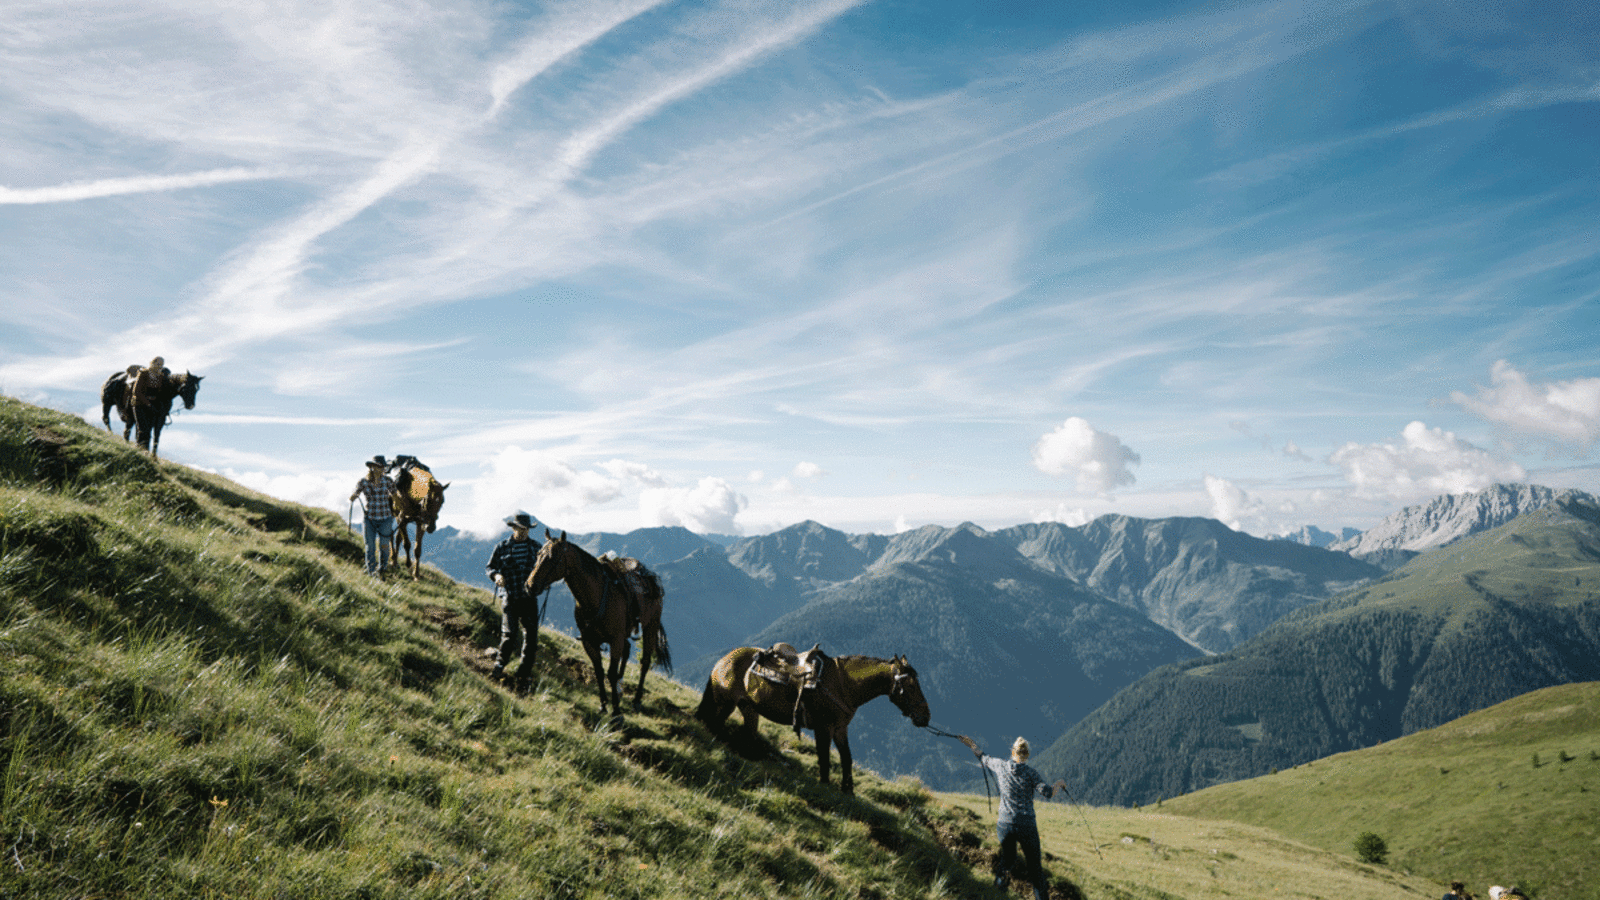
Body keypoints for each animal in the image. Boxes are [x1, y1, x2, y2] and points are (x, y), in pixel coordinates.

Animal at [528, 528, 672, 711]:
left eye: (553, 557)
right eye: (538, 554)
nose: (530, 586)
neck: (595, 597)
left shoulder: (615, 640)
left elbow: (610, 672)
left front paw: (616, 711)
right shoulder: (589, 641)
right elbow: (599, 671)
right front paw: (604, 704)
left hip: (650, 627)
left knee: (645, 662)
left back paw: (637, 699)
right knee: (627, 650)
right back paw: (619, 688)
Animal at [694, 643, 934, 791]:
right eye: (911, 685)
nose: (925, 717)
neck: (842, 685)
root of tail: (724, 660)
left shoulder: (840, 729)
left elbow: (846, 758)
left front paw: (848, 791)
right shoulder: (823, 728)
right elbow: (825, 758)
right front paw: (826, 785)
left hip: (749, 709)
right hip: (725, 703)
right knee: (714, 723)